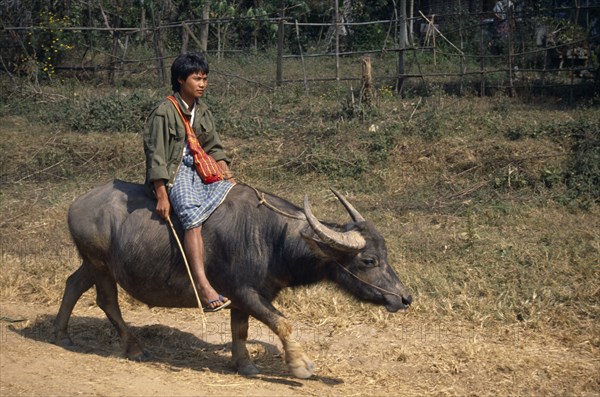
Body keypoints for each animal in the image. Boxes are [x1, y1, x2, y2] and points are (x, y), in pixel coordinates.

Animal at [52, 179, 412, 378]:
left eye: (386, 254)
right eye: (369, 260)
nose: (404, 297)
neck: (272, 238)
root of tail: (77, 204)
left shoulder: (245, 296)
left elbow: (241, 329)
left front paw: (244, 365)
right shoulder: (245, 292)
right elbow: (283, 323)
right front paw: (300, 365)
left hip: (94, 263)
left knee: (73, 283)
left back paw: (61, 335)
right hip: (100, 264)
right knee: (107, 300)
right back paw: (135, 347)